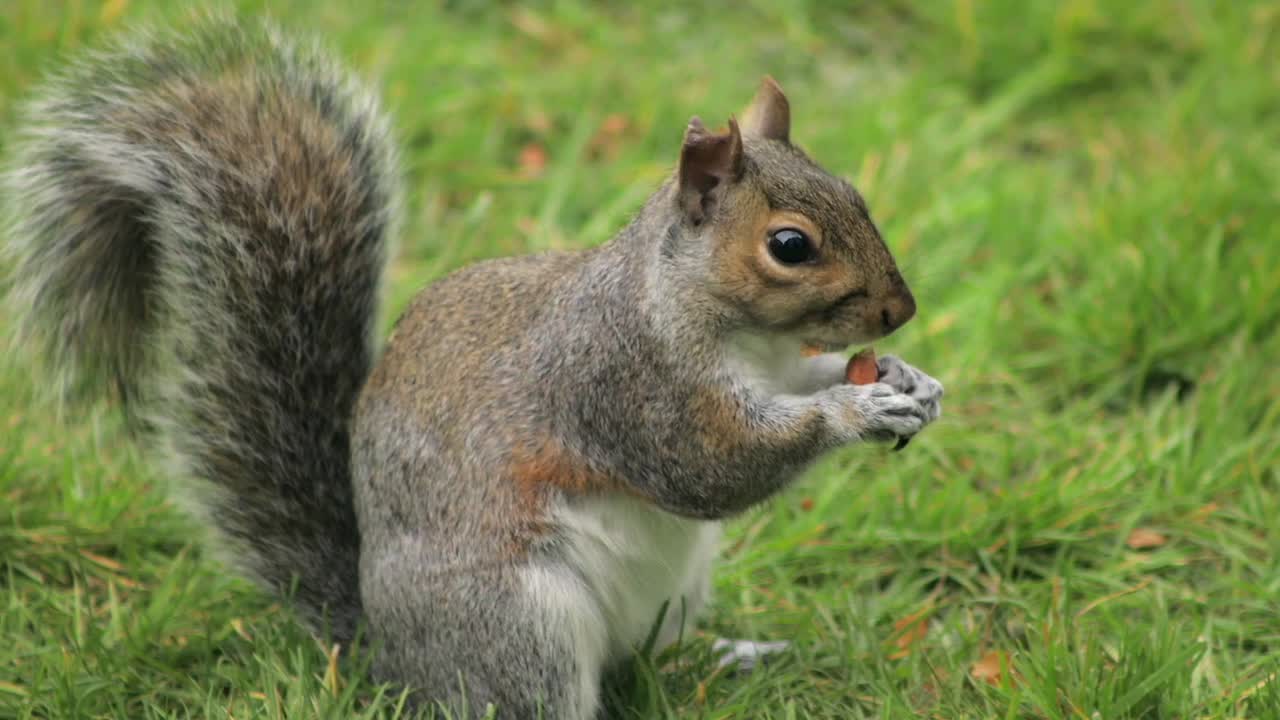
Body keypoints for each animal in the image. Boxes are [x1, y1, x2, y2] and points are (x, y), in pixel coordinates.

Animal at [2, 17, 943, 719]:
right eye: (789, 245)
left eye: (855, 194)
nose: (900, 310)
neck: (734, 327)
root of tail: (390, 656)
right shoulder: (622, 380)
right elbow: (709, 468)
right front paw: (856, 414)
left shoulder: (774, 367)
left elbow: (805, 387)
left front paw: (905, 378)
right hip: (516, 625)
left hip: (665, 597)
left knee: (644, 664)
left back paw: (730, 658)